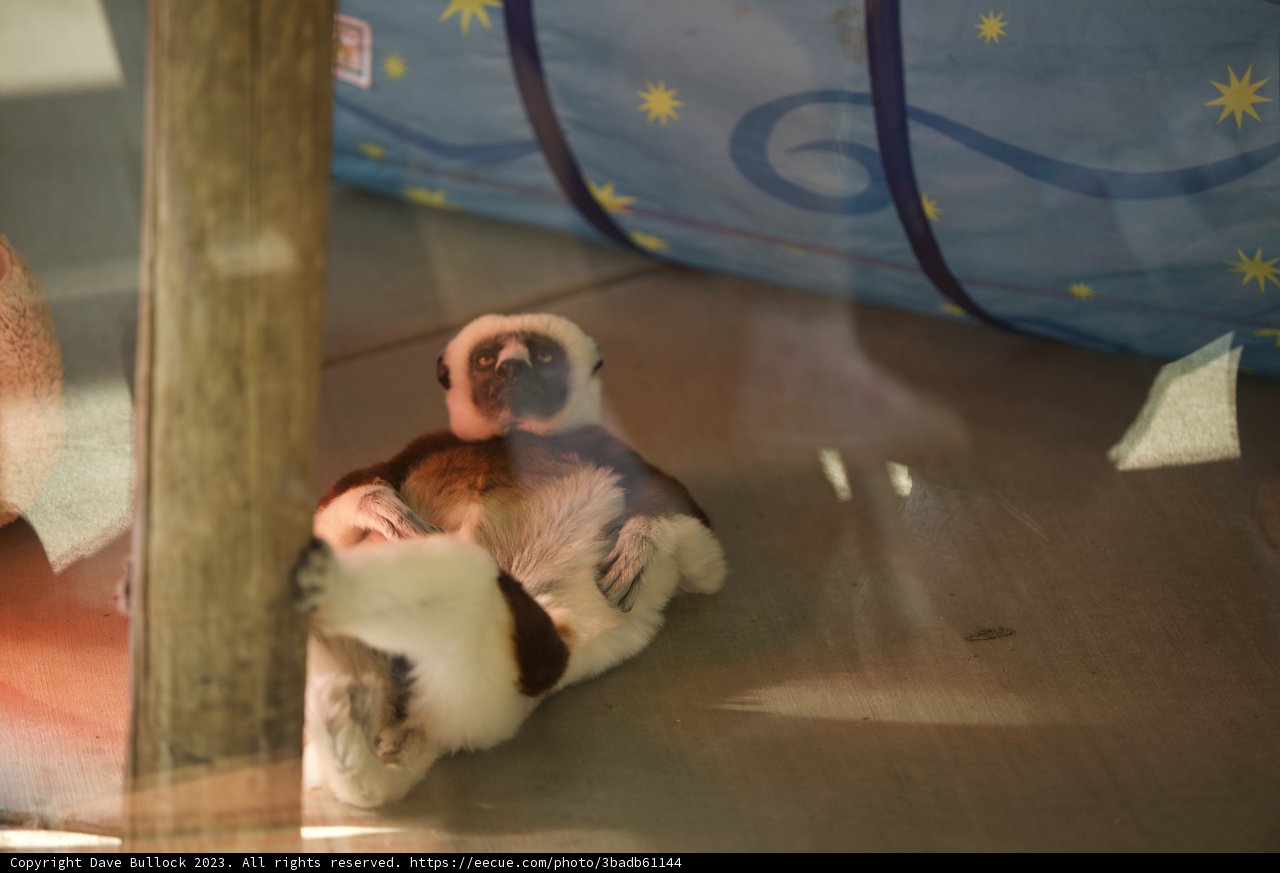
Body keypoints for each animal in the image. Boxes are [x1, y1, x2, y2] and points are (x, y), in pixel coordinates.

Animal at [295, 312, 727, 808]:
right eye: (486, 360)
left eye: (544, 356)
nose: (512, 369)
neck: (514, 437)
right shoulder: (427, 443)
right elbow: (339, 509)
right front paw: (376, 505)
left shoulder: (609, 447)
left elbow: (703, 558)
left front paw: (642, 539)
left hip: (507, 665)